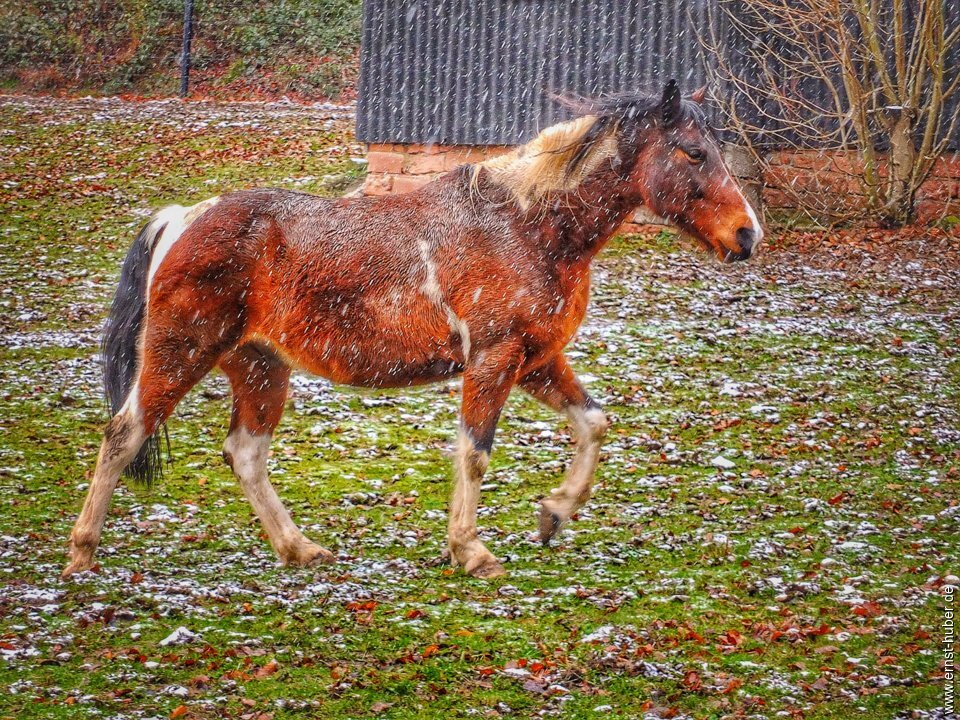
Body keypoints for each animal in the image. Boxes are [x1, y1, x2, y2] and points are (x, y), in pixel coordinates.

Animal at [62, 83, 764, 580]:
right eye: (694, 152)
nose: (746, 235)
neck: (528, 227)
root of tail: (183, 218)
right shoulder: (494, 360)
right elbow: (475, 452)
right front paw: (470, 550)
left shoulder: (536, 360)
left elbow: (593, 424)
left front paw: (553, 514)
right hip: (181, 353)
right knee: (124, 433)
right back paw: (81, 555)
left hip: (260, 367)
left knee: (245, 454)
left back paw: (299, 549)